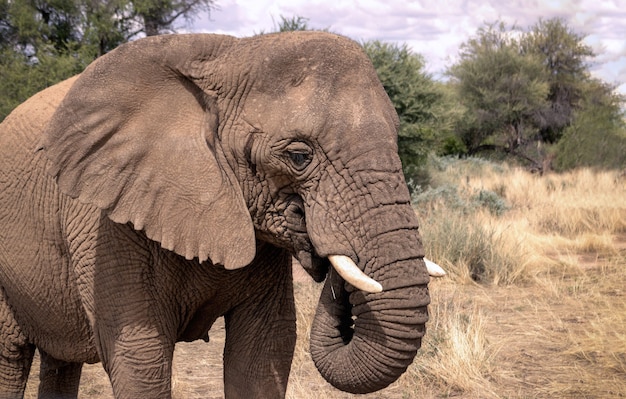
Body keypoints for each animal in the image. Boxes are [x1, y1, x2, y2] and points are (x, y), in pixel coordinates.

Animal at [0, 32, 436, 399]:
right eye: (299, 156)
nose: (326, 257)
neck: (231, 53)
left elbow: (264, 351)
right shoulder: (106, 224)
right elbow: (140, 357)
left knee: (59, 362)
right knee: (10, 355)